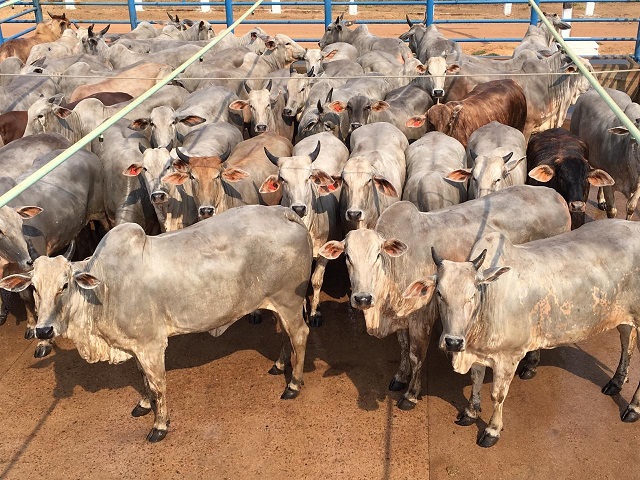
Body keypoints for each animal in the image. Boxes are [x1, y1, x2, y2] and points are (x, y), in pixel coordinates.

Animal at [1, 205, 312, 442]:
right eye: (34, 288)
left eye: (64, 285)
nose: (43, 329)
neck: (105, 286)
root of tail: (284, 212)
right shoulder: (135, 346)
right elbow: (143, 379)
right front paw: (143, 404)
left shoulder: (151, 345)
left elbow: (158, 383)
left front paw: (160, 425)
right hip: (279, 305)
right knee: (286, 336)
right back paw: (280, 365)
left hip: (289, 302)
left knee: (299, 335)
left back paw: (294, 384)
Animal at [260, 131, 350, 326]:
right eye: (283, 179)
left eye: (308, 177)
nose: (299, 208)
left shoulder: (324, 254)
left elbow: (316, 281)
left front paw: (315, 313)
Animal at [320, 186, 568, 410]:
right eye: (347, 257)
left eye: (378, 255)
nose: (362, 298)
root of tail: (556, 196)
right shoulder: (402, 319)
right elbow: (403, 348)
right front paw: (400, 377)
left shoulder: (421, 319)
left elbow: (415, 355)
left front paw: (411, 394)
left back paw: (531, 365)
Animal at [404, 219, 640, 448]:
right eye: (439, 293)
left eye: (472, 294)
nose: (453, 342)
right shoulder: (479, 351)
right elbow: (476, 379)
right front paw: (471, 412)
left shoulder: (508, 356)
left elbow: (497, 395)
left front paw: (492, 430)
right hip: (626, 319)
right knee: (626, 343)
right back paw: (616, 382)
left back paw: (633, 408)